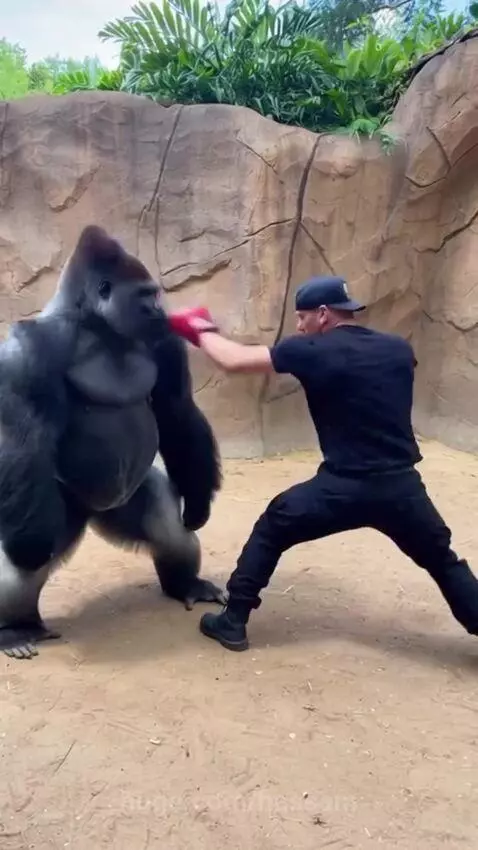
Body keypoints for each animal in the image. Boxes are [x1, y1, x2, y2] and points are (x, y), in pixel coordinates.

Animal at [0, 225, 225, 659]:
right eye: (144, 295)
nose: (159, 311)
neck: (97, 327)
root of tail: (96, 513)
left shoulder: (163, 341)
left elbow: (176, 410)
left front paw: (199, 501)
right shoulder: (28, 349)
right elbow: (23, 440)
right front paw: (30, 547)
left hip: (126, 502)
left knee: (169, 528)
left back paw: (185, 584)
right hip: (63, 506)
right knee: (22, 565)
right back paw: (14, 629)